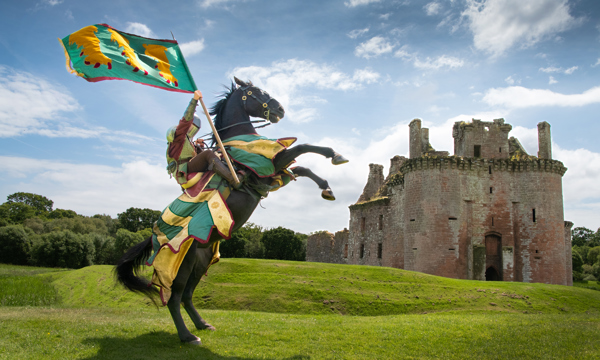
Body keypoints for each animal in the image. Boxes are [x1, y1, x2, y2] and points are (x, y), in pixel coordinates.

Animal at [115, 77, 350, 344]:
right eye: (257, 92)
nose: (280, 109)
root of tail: (155, 236)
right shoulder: (269, 166)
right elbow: (303, 147)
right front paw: (336, 155)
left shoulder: (274, 173)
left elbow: (302, 167)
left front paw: (327, 188)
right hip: (184, 262)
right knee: (174, 297)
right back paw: (187, 336)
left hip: (202, 262)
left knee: (187, 296)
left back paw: (203, 324)